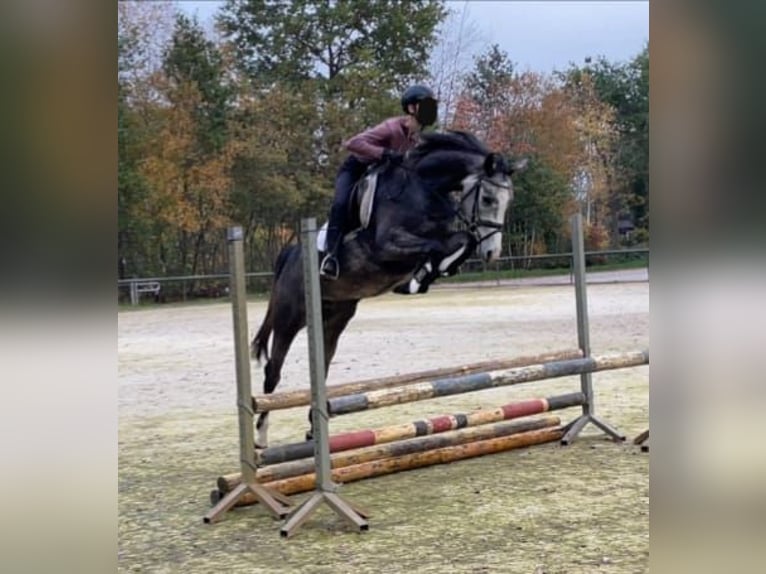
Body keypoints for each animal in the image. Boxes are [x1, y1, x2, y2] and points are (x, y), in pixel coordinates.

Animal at [252, 132, 528, 450]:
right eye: (487, 198)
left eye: (509, 201)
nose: (493, 253)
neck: (424, 188)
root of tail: (291, 255)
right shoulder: (386, 246)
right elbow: (446, 243)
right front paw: (426, 273)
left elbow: (460, 240)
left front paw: (428, 274)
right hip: (291, 317)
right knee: (273, 370)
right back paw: (260, 437)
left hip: (334, 319)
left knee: (321, 369)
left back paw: (314, 430)